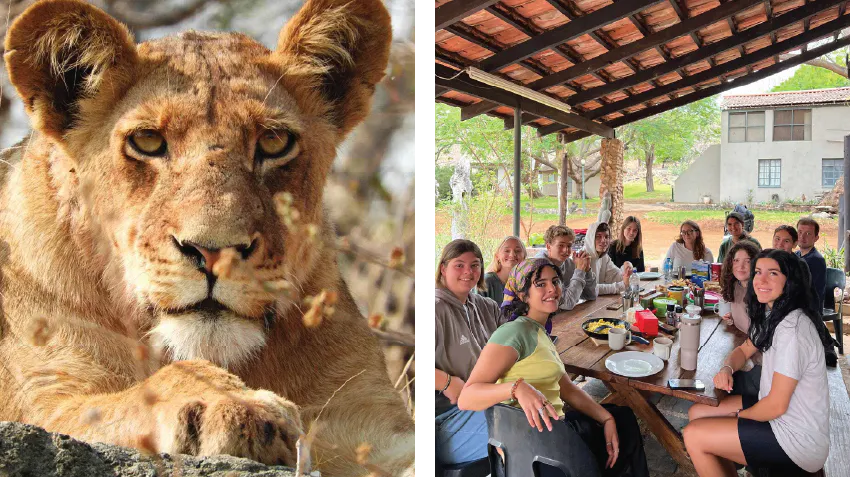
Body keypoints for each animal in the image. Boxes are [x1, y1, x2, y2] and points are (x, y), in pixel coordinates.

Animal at [0, 0, 415, 475]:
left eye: (274, 142)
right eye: (147, 140)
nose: (214, 252)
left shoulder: (370, 423)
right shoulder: (45, 402)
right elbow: (160, 382)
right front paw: (233, 406)